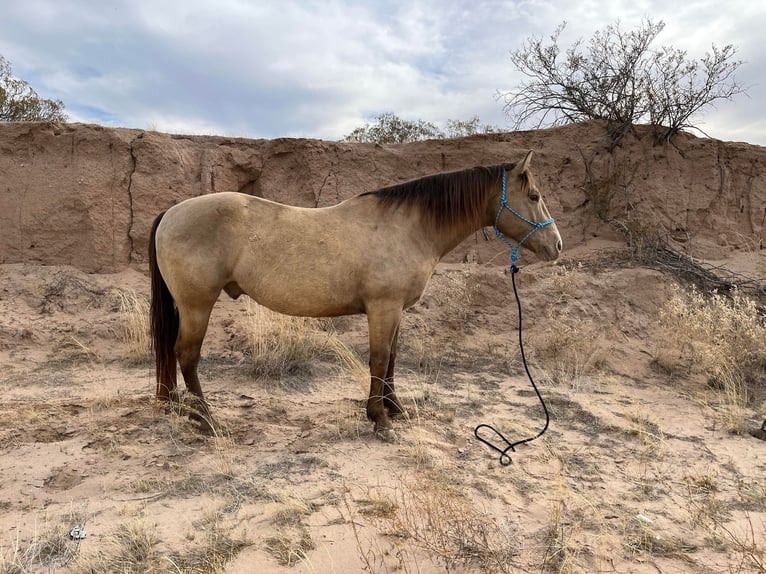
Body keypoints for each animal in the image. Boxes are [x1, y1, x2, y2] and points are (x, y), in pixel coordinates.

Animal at [148, 151, 564, 438]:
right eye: (534, 195)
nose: (557, 245)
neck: (408, 227)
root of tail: (171, 212)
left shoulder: (396, 311)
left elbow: (393, 357)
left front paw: (394, 408)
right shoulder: (383, 308)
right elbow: (378, 360)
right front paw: (379, 419)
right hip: (197, 305)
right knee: (187, 355)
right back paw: (206, 419)